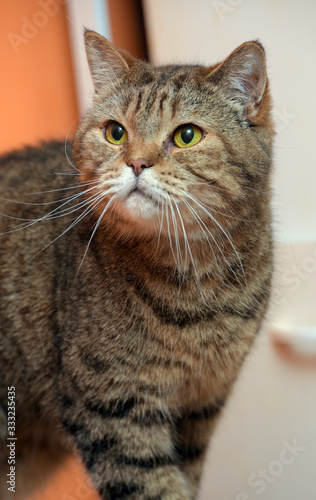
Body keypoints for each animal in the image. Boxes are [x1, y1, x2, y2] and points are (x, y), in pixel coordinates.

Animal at [0, 30, 272, 500]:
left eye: (186, 135)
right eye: (115, 132)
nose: (137, 163)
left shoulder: (201, 405)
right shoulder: (113, 407)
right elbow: (153, 487)